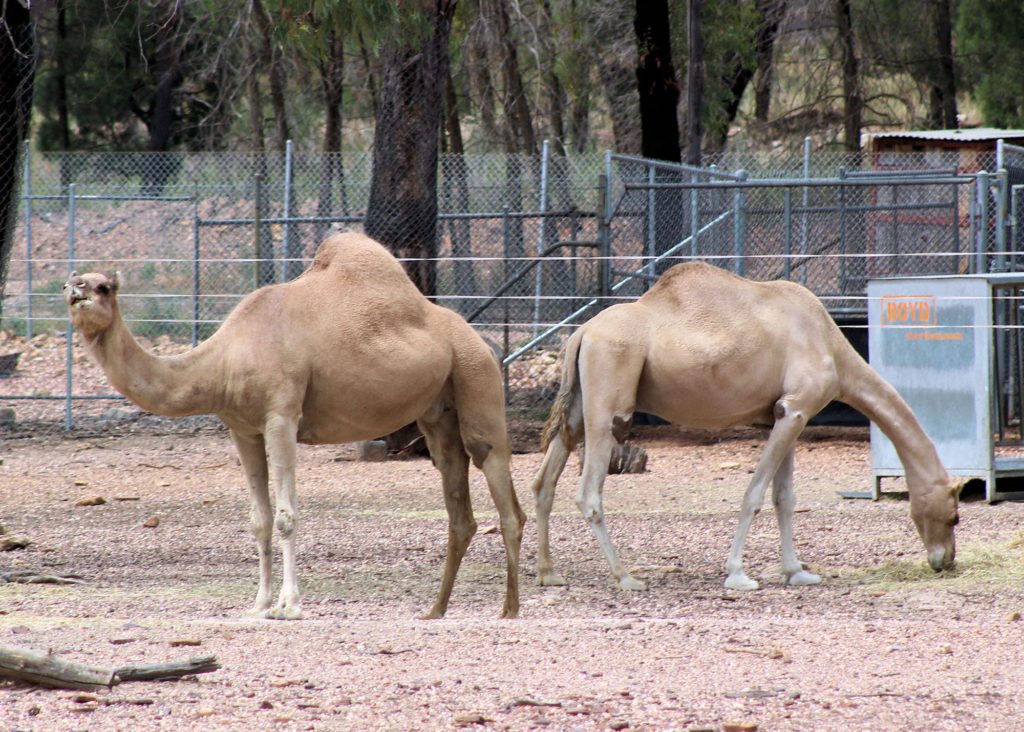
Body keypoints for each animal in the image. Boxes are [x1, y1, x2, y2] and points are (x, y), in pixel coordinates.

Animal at [64, 232, 528, 622]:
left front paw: (289, 605)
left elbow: (287, 516)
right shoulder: (243, 429)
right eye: (76, 280)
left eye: (104, 287)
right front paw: (258, 604)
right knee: (457, 498)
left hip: (476, 374)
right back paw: (436, 609)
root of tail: (482, 340)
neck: (225, 359)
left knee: (500, 482)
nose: (76, 289)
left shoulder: (281, 416)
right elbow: (260, 519)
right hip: (438, 412)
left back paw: (509, 608)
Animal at [532, 261, 962, 593]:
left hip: (578, 407)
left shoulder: (787, 413)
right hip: (609, 404)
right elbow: (754, 494)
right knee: (589, 493)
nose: (946, 561)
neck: (832, 347)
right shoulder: (797, 407)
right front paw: (738, 574)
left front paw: (797, 572)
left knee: (543, 482)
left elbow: (784, 498)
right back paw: (626, 577)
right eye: (955, 515)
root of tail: (581, 333)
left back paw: (549, 573)